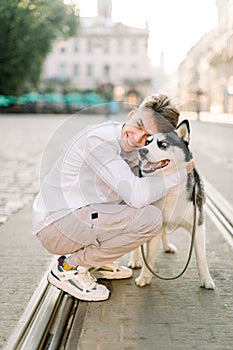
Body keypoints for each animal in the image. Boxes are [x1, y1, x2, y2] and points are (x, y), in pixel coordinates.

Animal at [129, 120, 215, 290]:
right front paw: (145, 276)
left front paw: (206, 279)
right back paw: (134, 260)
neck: (170, 187)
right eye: (147, 142)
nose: (142, 150)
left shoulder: (198, 225)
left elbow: (201, 257)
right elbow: (149, 255)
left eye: (163, 144)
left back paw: (167, 246)